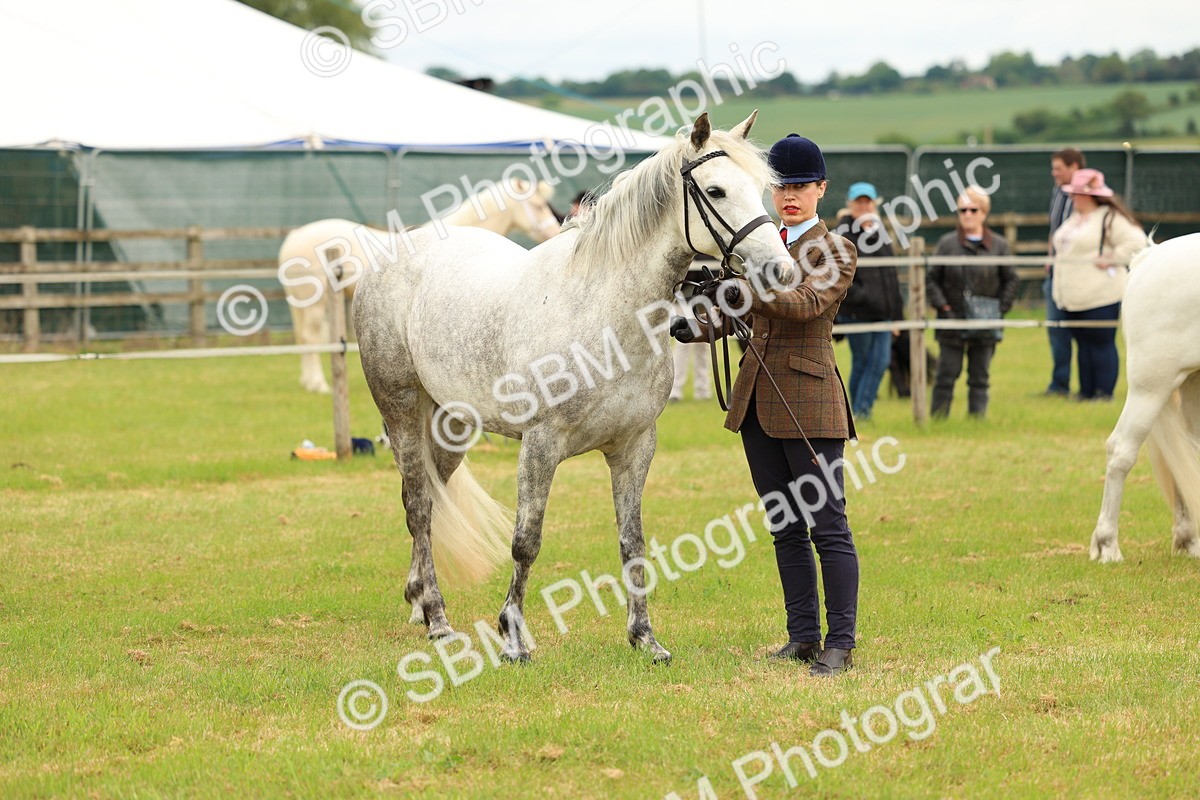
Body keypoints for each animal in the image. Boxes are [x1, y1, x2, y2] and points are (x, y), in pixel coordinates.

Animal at [280, 178, 562, 394]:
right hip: (315, 302)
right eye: (538, 205)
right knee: (311, 336)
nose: (554, 231)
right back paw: (318, 384)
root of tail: (294, 237)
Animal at [352, 111, 792, 662]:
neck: (604, 313)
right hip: (403, 413)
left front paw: (645, 638)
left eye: (761, 188)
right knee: (417, 506)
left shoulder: (634, 447)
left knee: (432, 500)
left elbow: (633, 543)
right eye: (716, 190)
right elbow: (526, 541)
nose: (781, 270)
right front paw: (512, 637)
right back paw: (436, 618)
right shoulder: (540, 444)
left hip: (451, 425)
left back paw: (418, 601)